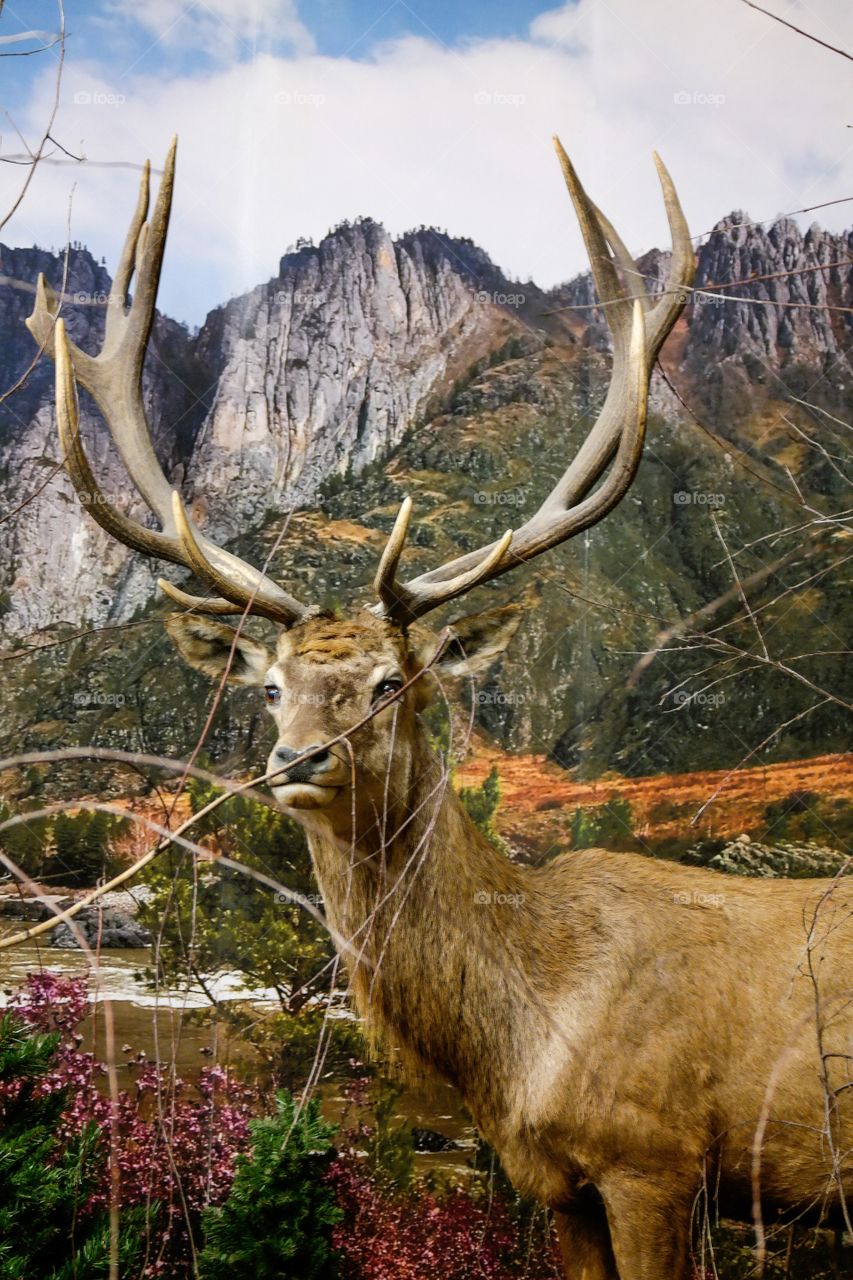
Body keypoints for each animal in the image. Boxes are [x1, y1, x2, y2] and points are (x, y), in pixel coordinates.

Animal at [27, 137, 852, 1280]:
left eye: (392, 683)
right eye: (270, 688)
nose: (297, 760)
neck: (519, 1042)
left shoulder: (657, 1161)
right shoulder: (555, 1184)